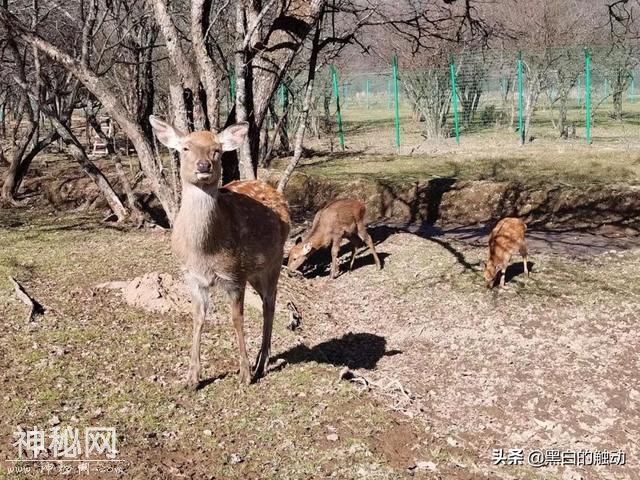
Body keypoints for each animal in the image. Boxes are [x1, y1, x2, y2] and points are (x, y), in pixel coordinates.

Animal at [148, 115, 290, 386]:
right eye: (185, 148)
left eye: (217, 150)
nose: (204, 165)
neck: (204, 252)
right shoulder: (191, 276)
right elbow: (197, 317)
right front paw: (192, 377)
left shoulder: (234, 275)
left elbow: (237, 318)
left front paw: (244, 374)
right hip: (255, 271)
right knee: (268, 299)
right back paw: (261, 360)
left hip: (274, 260)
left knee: (270, 301)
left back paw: (260, 364)